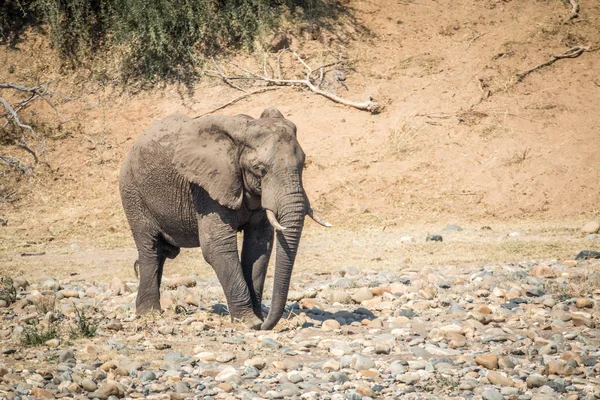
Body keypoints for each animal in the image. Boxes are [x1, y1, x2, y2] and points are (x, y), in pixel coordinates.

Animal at [119, 106, 330, 328]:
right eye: (260, 170)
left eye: (303, 165)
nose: (265, 324)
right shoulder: (206, 188)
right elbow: (216, 246)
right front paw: (249, 321)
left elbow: (258, 247)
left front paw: (257, 317)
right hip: (132, 192)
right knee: (149, 248)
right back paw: (149, 313)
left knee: (161, 252)